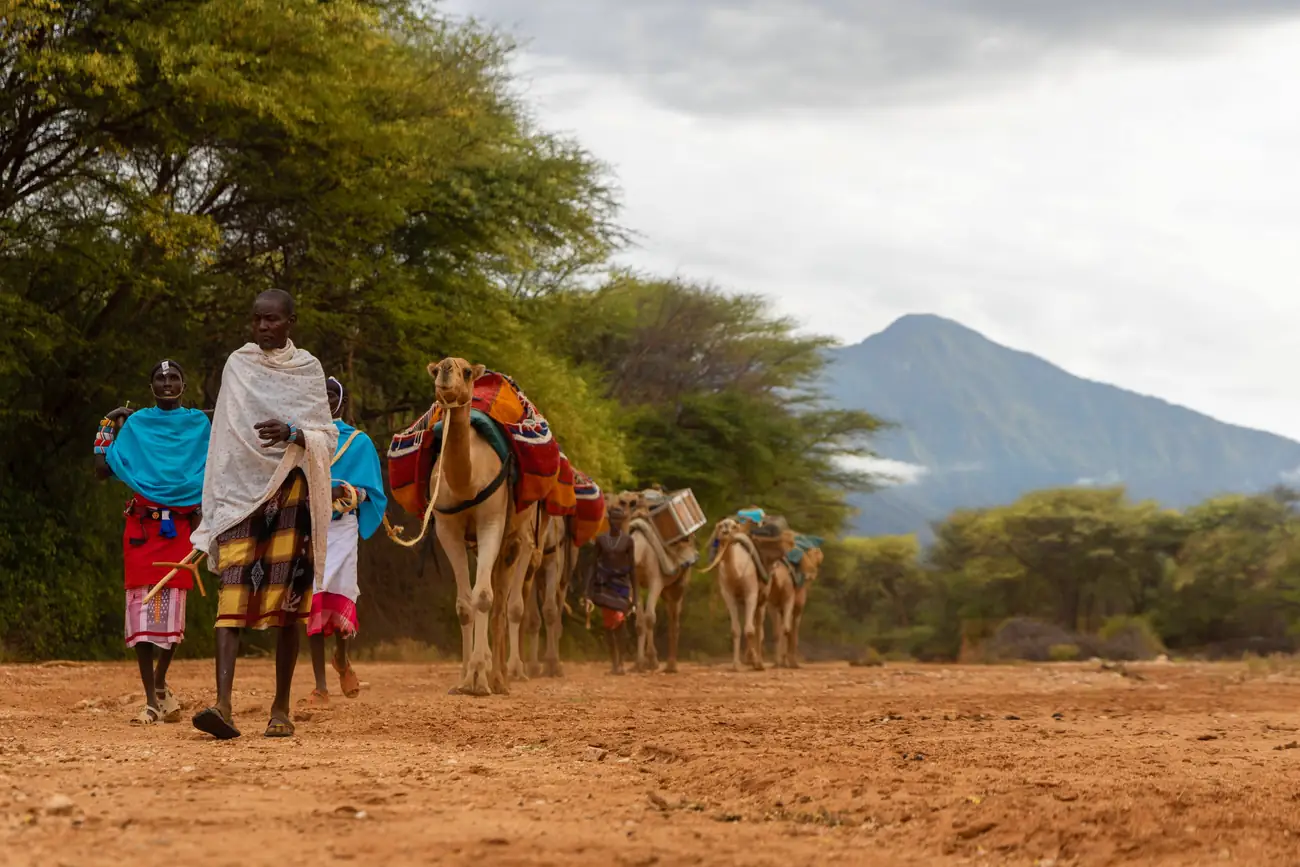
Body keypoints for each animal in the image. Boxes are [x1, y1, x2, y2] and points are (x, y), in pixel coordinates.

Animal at [426, 357, 538, 696]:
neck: (467, 482)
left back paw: (500, 678)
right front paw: (465, 678)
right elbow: (464, 604)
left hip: (515, 537)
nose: (446, 369)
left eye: (465, 371)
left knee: (502, 600)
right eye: (438, 368)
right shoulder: (447, 529)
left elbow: (485, 597)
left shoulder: (492, 521)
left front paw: (480, 678)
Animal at [522, 514, 577, 677]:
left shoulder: (554, 561)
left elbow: (550, 611)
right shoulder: (531, 572)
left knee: (558, 609)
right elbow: (533, 618)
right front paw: (533, 667)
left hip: (564, 577)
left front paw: (552, 663)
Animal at [611, 490, 693, 673]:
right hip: (666, 589)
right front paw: (640, 663)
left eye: (625, 502)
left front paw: (652, 661)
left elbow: (650, 618)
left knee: (674, 618)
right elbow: (640, 622)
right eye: (619, 500)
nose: (612, 509)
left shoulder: (656, 580)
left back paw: (671, 665)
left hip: (679, 582)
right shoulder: (635, 583)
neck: (640, 553)